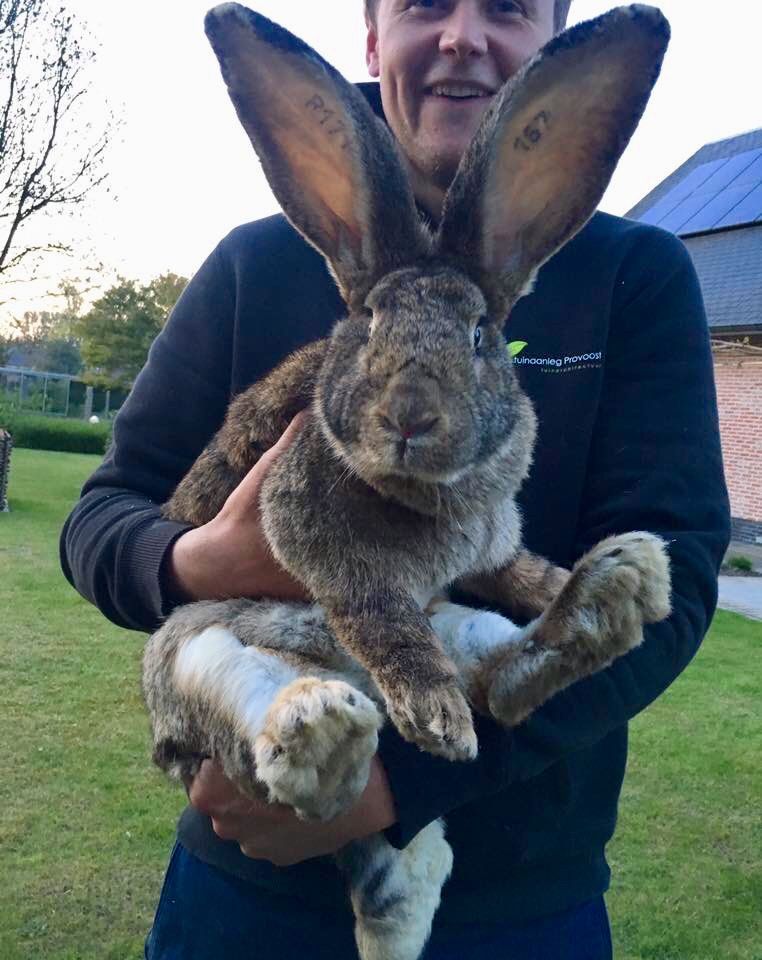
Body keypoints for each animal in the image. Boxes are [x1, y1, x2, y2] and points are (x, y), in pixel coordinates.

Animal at [145, 7, 668, 960]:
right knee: (285, 741)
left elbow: (519, 572)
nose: (410, 417)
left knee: (507, 682)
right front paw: (436, 721)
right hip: (195, 659)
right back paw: (329, 729)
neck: (436, 491)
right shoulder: (314, 530)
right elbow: (379, 606)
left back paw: (612, 592)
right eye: (371, 320)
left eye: (480, 334)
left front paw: (559, 581)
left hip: (461, 624)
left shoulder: (490, 551)